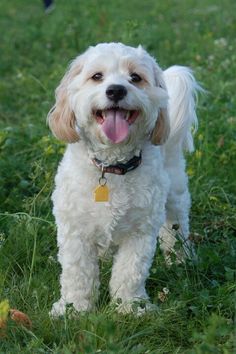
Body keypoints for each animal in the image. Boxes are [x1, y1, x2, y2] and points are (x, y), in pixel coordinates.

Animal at [48, 42, 200, 316]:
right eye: (97, 76)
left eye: (135, 78)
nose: (116, 90)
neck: (112, 167)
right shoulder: (75, 231)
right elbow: (78, 274)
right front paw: (74, 309)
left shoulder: (140, 232)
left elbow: (130, 272)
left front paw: (130, 307)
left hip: (175, 194)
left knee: (176, 228)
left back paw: (181, 259)